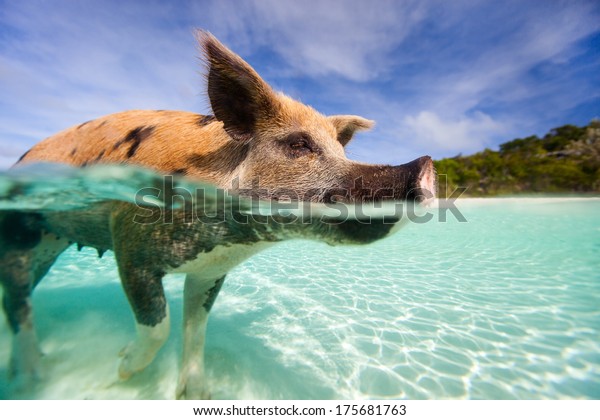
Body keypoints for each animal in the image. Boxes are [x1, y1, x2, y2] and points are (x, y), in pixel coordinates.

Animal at [0, 31, 436, 398]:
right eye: (298, 144)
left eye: (341, 151)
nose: (425, 166)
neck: (231, 238)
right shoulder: (128, 247)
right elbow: (159, 325)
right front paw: (120, 369)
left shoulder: (210, 270)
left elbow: (196, 328)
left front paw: (198, 395)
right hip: (20, 232)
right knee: (19, 300)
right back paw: (33, 376)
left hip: (50, 243)